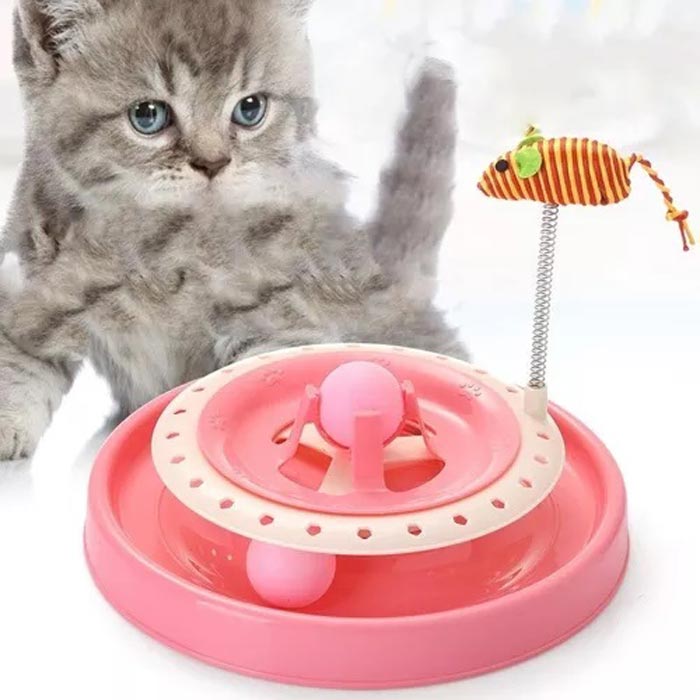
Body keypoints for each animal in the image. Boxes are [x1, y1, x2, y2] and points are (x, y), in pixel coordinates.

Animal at [0, 0, 465, 461]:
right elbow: (19, 361)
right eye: (147, 116)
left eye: (250, 109)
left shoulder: (282, 315)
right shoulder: (30, 285)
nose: (213, 162)